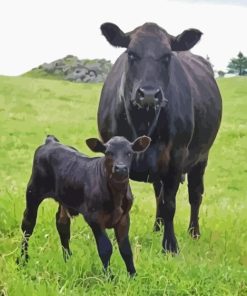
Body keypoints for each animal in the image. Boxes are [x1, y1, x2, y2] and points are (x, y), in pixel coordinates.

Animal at [18, 135, 151, 276]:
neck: (116, 196)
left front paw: (133, 275)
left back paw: (68, 260)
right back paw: (23, 260)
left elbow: (126, 249)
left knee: (62, 225)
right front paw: (109, 277)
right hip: (33, 192)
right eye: (108, 153)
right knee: (27, 226)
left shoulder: (124, 218)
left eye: (129, 153)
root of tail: (51, 142)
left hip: (64, 199)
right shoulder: (94, 218)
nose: (120, 168)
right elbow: (105, 248)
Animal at [98, 22, 222, 252]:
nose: (148, 94)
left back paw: (193, 233)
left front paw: (170, 246)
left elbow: (170, 204)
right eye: (131, 54)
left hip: (202, 157)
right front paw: (116, 241)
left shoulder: (176, 156)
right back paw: (157, 227)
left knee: (195, 195)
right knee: (158, 192)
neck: (142, 122)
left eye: (167, 56)